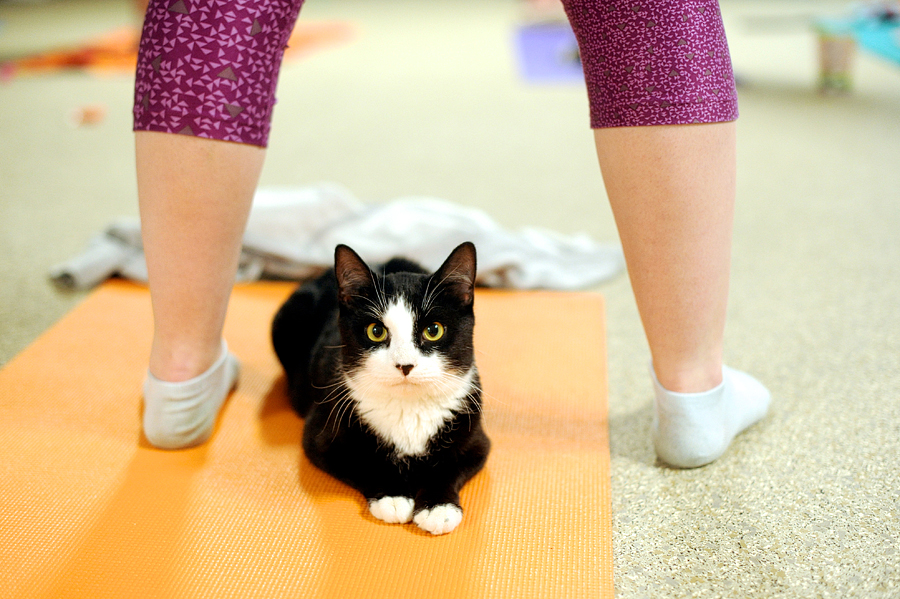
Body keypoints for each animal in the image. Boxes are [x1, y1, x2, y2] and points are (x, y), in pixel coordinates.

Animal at [270, 241, 488, 536]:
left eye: (434, 330)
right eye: (376, 331)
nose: (405, 365)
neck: (408, 408)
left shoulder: (476, 438)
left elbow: (450, 466)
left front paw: (438, 507)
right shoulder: (321, 436)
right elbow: (362, 463)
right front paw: (393, 497)